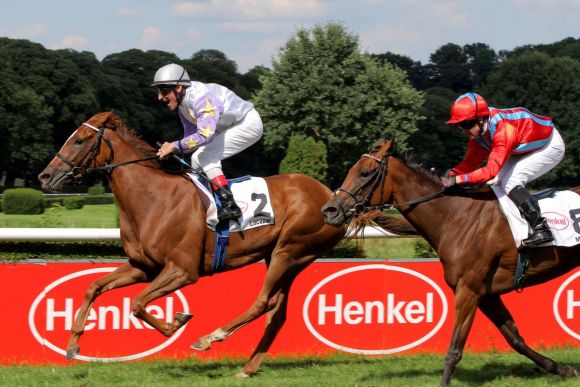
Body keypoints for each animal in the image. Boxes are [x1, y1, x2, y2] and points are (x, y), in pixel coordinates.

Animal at [36, 112, 414, 378]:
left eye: (80, 139)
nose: (44, 176)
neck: (153, 198)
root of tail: (333, 198)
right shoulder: (143, 267)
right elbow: (95, 287)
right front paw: (72, 345)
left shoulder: (183, 270)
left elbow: (138, 304)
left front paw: (177, 323)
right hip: (286, 257)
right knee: (277, 311)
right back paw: (249, 366)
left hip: (290, 251)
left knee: (263, 302)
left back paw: (211, 338)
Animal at [324, 141, 576, 386]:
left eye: (365, 173)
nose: (330, 210)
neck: (455, 217)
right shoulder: (486, 294)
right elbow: (514, 337)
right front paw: (561, 368)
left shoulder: (468, 289)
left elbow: (455, 349)